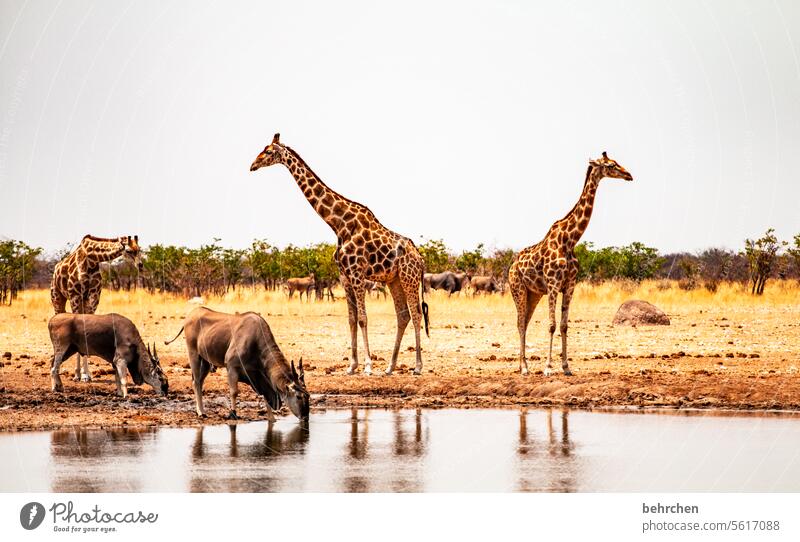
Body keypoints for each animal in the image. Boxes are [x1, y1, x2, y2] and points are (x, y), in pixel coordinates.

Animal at [50, 237, 143, 382]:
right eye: (128, 250)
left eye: (139, 249)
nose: (140, 264)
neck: (92, 258)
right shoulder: (75, 296)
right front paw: (78, 374)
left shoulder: (93, 297)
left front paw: (86, 374)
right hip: (57, 297)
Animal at [250, 134, 428, 376]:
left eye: (268, 152)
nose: (252, 165)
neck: (339, 224)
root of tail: (420, 258)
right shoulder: (345, 276)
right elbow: (351, 319)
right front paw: (352, 366)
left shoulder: (357, 273)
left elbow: (362, 318)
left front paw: (368, 366)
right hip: (394, 280)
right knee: (403, 315)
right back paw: (390, 367)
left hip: (409, 278)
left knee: (416, 314)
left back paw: (417, 366)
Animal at [510, 151, 636, 376]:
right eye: (610, 165)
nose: (629, 175)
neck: (570, 240)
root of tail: (510, 268)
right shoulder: (553, 285)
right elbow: (552, 325)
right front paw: (548, 368)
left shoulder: (569, 285)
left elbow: (564, 325)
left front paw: (566, 367)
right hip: (518, 289)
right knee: (520, 323)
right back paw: (524, 368)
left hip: (533, 294)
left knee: (523, 322)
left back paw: (522, 365)